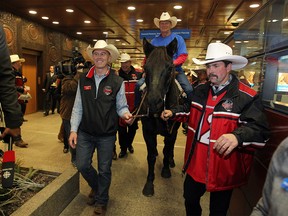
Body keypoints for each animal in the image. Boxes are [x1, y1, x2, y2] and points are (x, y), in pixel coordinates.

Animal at [139, 38, 180, 197]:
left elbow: (167, 149)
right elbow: (150, 156)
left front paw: (166, 170)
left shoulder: (171, 131)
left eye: (170, 67)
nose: (153, 101)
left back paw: (171, 161)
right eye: (145, 67)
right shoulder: (148, 132)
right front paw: (149, 184)